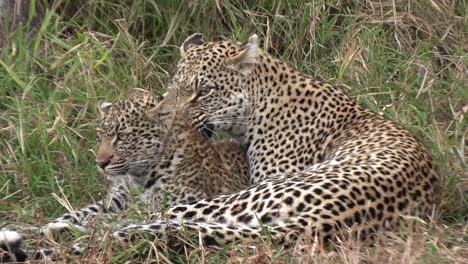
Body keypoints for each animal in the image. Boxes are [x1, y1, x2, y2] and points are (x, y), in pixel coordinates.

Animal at [112, 33, 438, 248]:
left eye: (203, 91)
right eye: (174, 88)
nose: (166, 118)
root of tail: (329, 217)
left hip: (249, 195)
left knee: (162, 213)